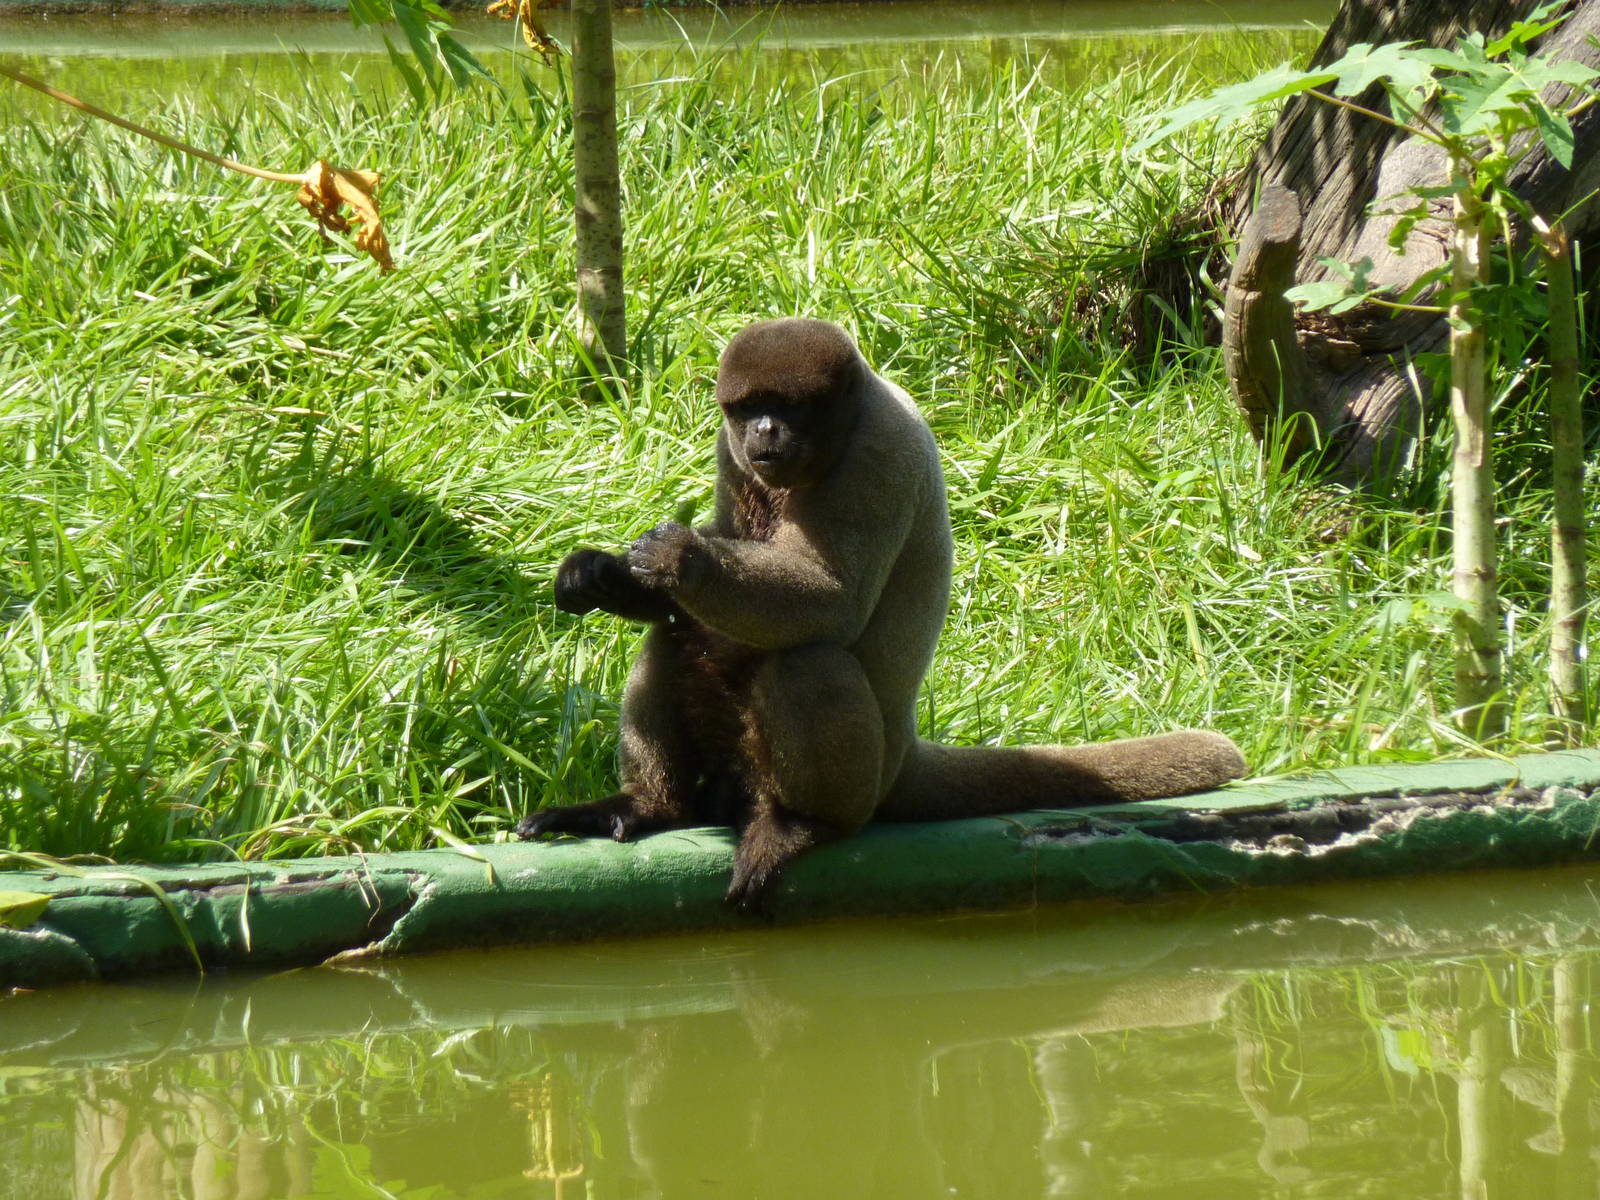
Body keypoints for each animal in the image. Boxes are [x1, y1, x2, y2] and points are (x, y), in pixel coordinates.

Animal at [519, 317, 1246, 908]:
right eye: (748, 408)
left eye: (786, 407)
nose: (764, 431)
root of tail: (904, 749)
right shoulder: (731, 451)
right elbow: (713, 572)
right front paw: (601, 573)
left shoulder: (876, 455)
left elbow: (834, 602)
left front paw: (680, 559)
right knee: (676, 641)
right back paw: (650, 806)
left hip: (864, 773)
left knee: (807, 663)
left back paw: (803, 825)